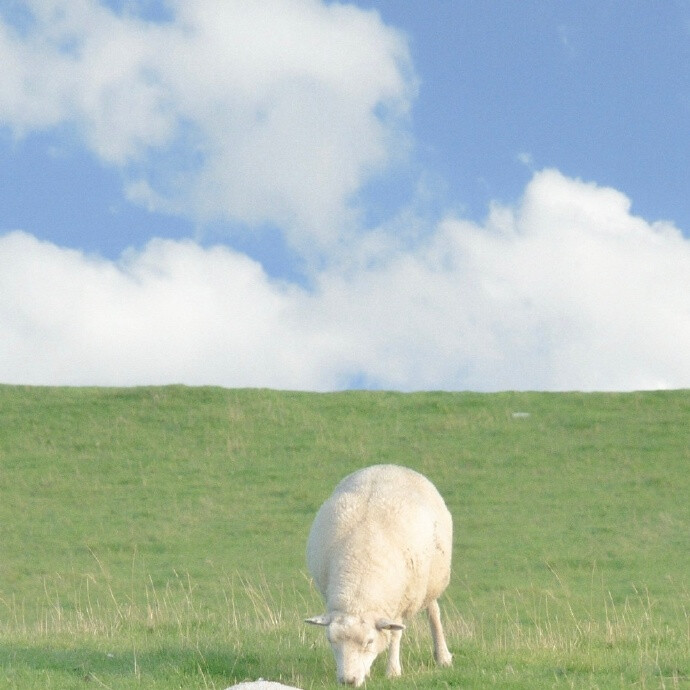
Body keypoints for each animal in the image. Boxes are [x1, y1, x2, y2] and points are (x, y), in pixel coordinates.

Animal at [306, 462, 452, 684]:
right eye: (331, 641)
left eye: (369, 641)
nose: (348, 681)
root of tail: (390, 466)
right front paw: (367, 673)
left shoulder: (400, 602)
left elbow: (395, 636)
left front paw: (393, 671)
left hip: (430, 582)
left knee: (434, 612)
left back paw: (443, 657)